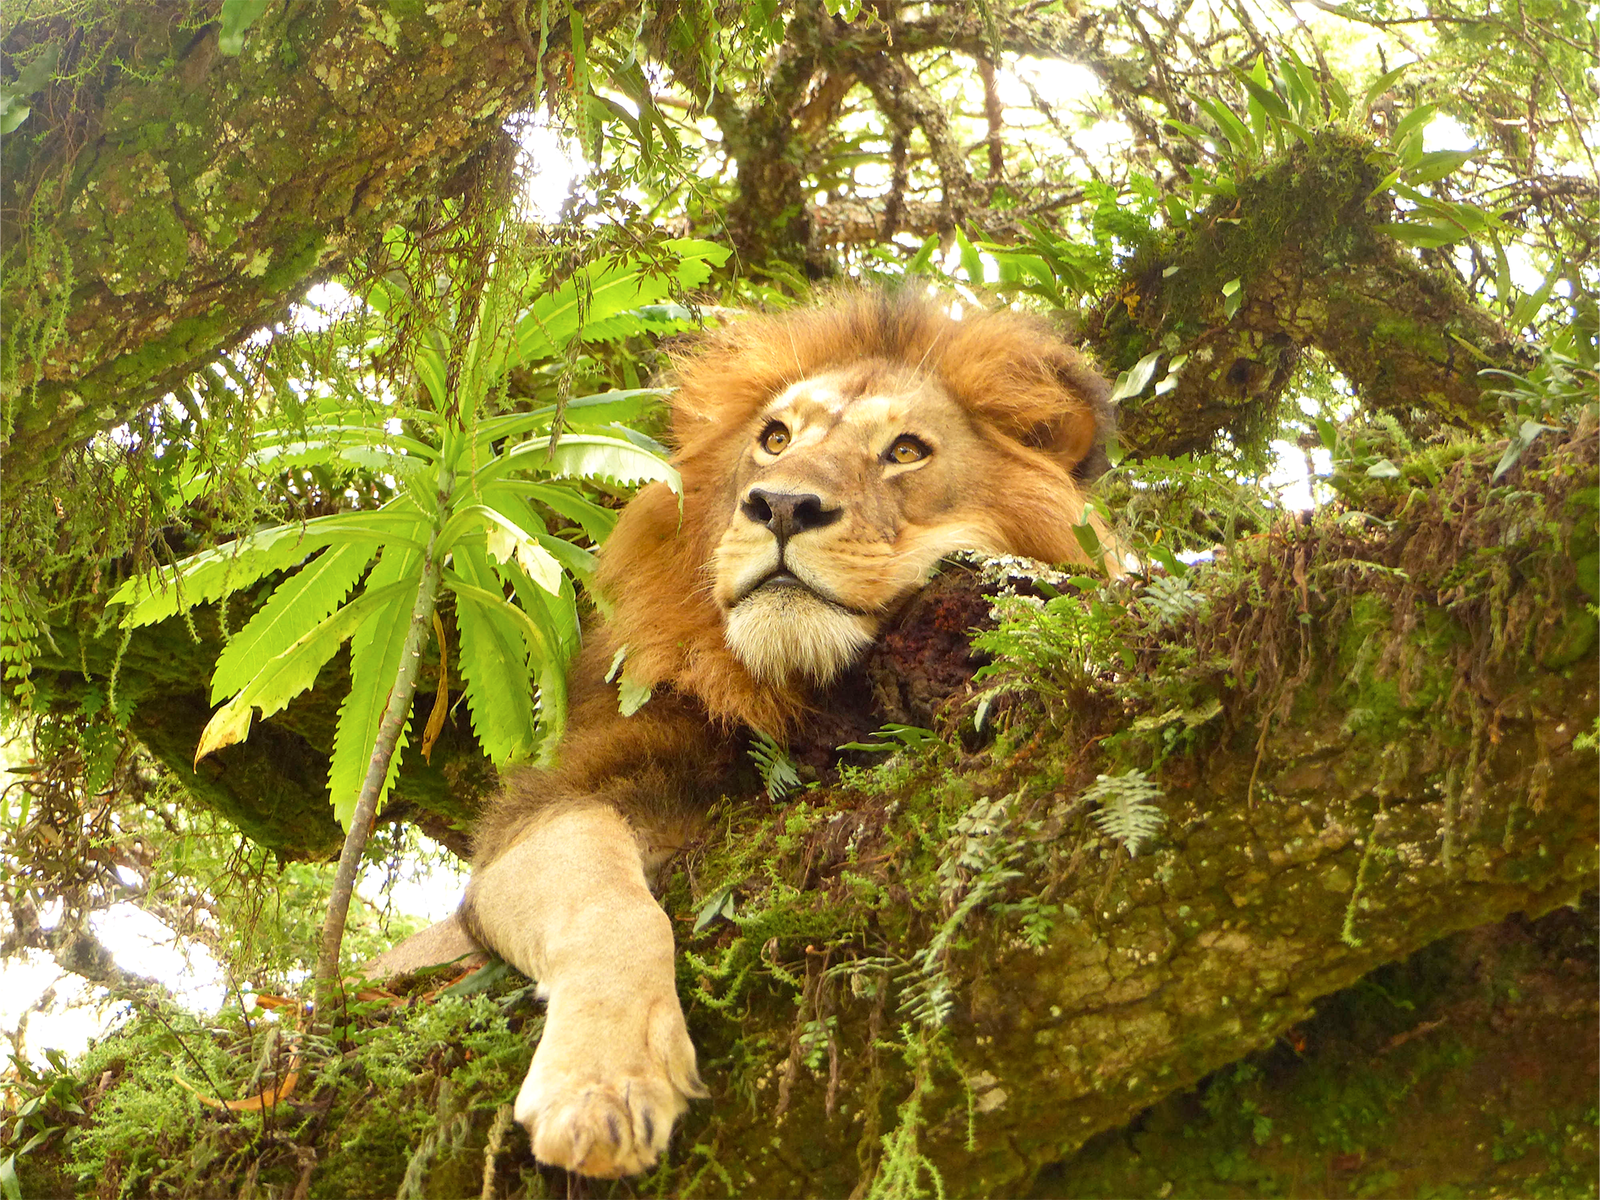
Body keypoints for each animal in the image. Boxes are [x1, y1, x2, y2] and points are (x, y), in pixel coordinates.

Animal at [370, 291, 1115, 1178]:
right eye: (777, 438)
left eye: (905, 451)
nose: (783, 506)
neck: (804, 692)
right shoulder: (550, 808)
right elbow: (609, 906)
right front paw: (603, 1085)